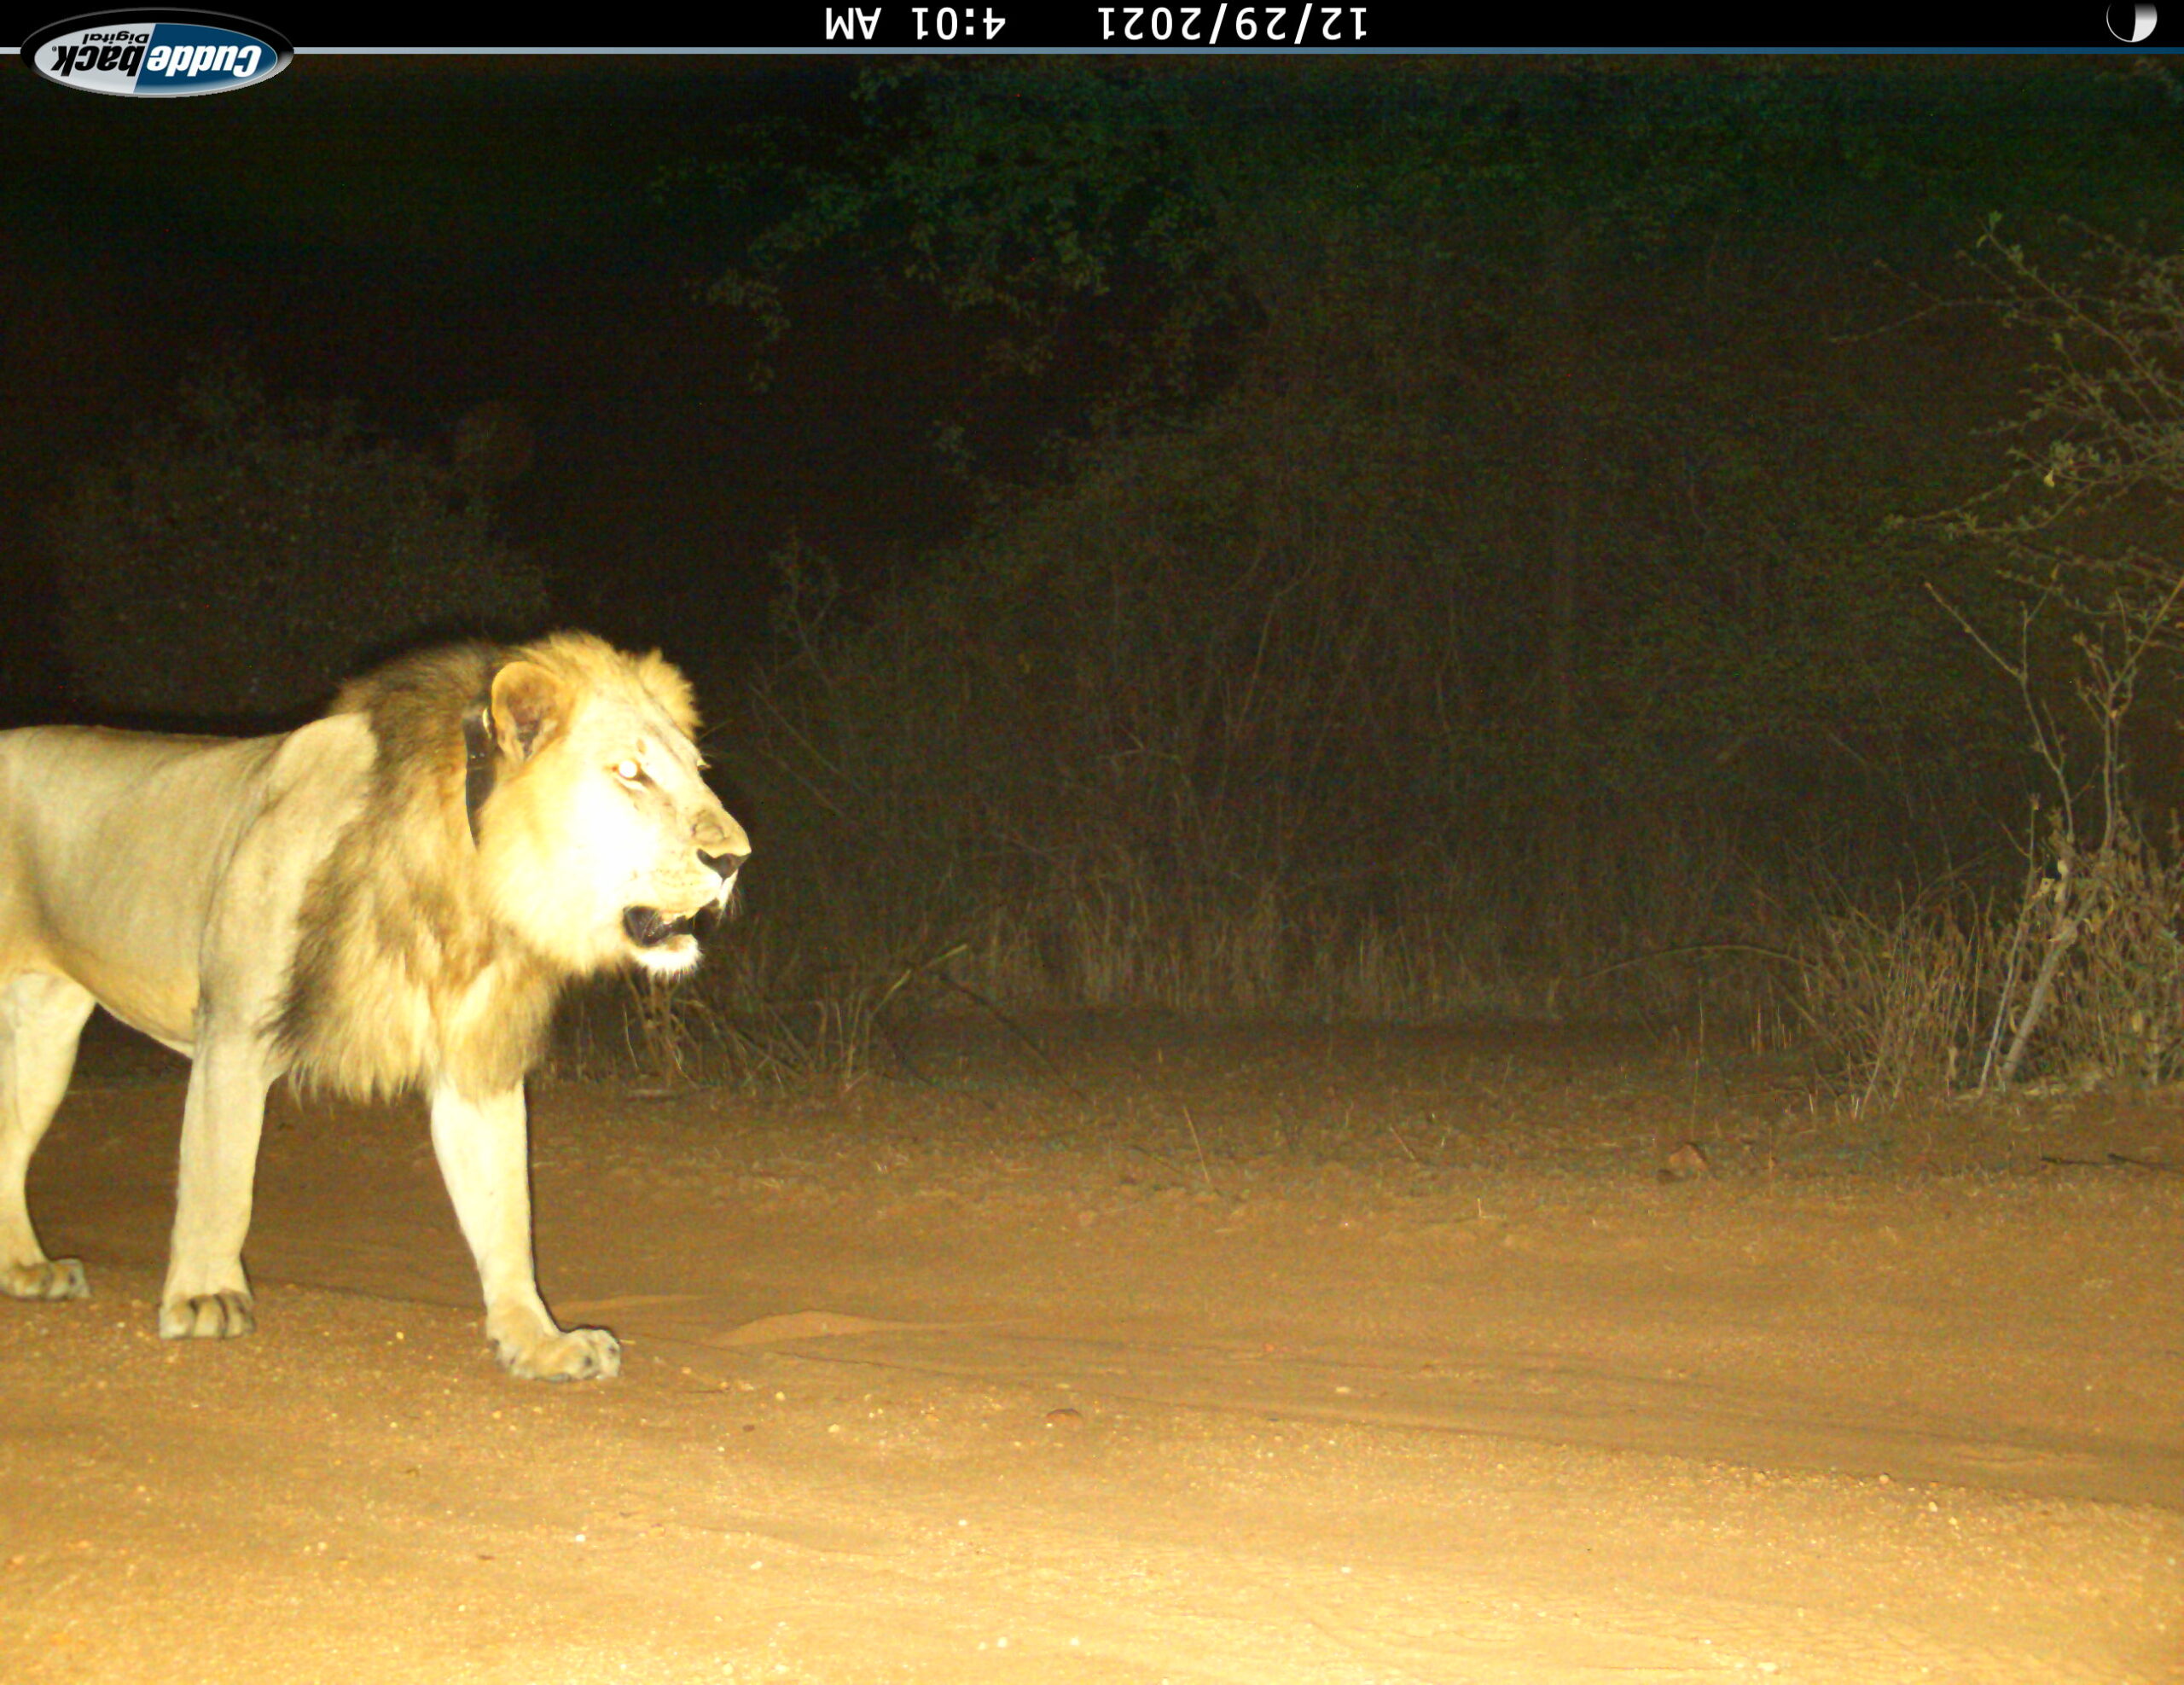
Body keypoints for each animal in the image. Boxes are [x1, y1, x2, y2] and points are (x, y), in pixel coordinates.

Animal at [0, 632, 748, 1380]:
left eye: (698, 770)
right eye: (630, 772)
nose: (735, 858)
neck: (473, 893)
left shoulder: (474, 1063)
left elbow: (506, 1213)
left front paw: (539, 1340)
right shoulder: (234, 1028)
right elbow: (221, 1176)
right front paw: (206, 1295)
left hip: (46, 1032)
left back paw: (29, 1270)